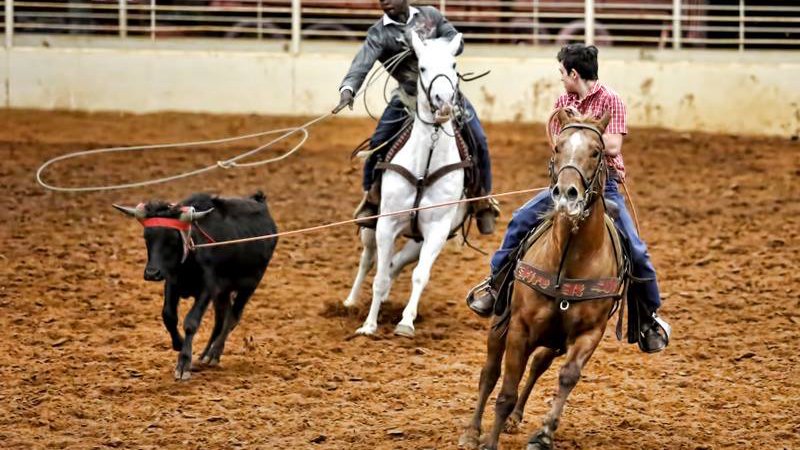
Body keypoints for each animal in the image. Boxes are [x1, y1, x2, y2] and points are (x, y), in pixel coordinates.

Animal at [113, 191, 278, 380]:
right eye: (147, 237)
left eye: (172, 239)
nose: (152, 273)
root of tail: (260, 203)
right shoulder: (172, 282)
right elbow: (168, 316)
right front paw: (178, 343)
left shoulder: (208, 288)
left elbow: (191, 322)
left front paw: (183, 364)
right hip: (223, 292)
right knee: (221, 319)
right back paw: (205, 356)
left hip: (250, 284)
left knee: (232, 318)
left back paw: (214, 354)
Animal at [343, 32, 469, 338]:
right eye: (422, 67)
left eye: (454, 65)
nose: (444, 101)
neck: (425, 164)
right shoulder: (386, 224)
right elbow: (376, 276)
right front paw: (369, 325)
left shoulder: (437, 230)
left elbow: (420, 275)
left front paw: (405, 323)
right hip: (371, 226)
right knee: (368, 260)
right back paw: (351, 301)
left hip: (420, 237)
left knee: (397, 262)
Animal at [460, 109, 624, 450]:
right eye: (557, 147)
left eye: (596, 151)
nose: (567, 194)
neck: (569, 260)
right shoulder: (519, 328)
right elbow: (505, 391)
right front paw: (488, 441)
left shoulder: (589, 333)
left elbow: (567, 376)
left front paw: (544, 433)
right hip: (500, 325)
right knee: (489, 373)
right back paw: (471, 431)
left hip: (555, 341)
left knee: (537, 366)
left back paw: (515, 419)